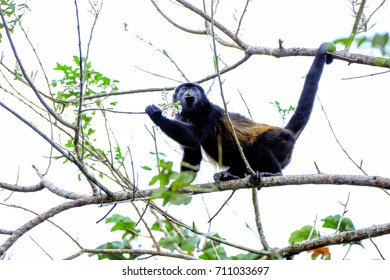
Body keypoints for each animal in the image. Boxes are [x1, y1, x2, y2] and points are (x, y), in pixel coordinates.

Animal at [145, 41, 334, 182]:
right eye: (184, 89)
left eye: (195, 89)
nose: (189, 90)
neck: (192, 112)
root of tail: (287, 132)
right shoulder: (182, 117)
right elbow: (192, 155)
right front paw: (175, 187)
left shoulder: (209, 112)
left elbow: (195, 137)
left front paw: (156, 115)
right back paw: (229, 175)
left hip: (281, 142)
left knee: (257, 146)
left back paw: (272, 172)